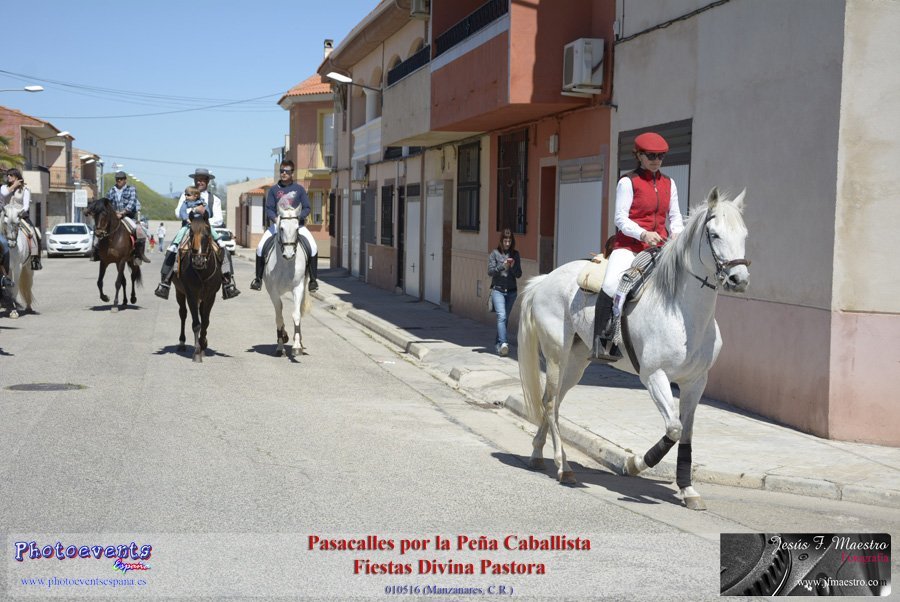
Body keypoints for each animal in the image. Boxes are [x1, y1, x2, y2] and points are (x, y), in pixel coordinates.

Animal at [172, 217, 222, 362]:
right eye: (191, 234)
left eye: (207, 234)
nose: (198, 260)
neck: (202, 272)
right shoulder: (191, 295)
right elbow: (196, 324)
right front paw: (197, 352)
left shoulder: (210, 296)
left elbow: (205, 321)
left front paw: (203, 344)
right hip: (179, 292)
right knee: (183, 314)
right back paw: (182, 343)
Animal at [262, 205, 312, 357]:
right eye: (282, 228)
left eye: (297, 228)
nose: (289, 254)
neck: (286, 263)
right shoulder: (273, 291)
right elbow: (279, 316)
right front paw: (280, 346)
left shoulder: (298, 288)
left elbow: (296, 314)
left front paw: (296, 346)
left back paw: (299, 341)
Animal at [517, 187, 750, 510]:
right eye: (714, 234)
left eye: (744, 234)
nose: (739, 279)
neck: (683, 313)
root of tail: (544, 280)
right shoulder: (654, 376)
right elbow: (674, 428)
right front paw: (634, 463)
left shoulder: (696, 382)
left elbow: (687, 433)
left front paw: (688, 489)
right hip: (555, 356)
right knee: (551, 404)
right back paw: (564, 468)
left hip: (575, 364)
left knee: (554, 401)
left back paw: (538, 455)